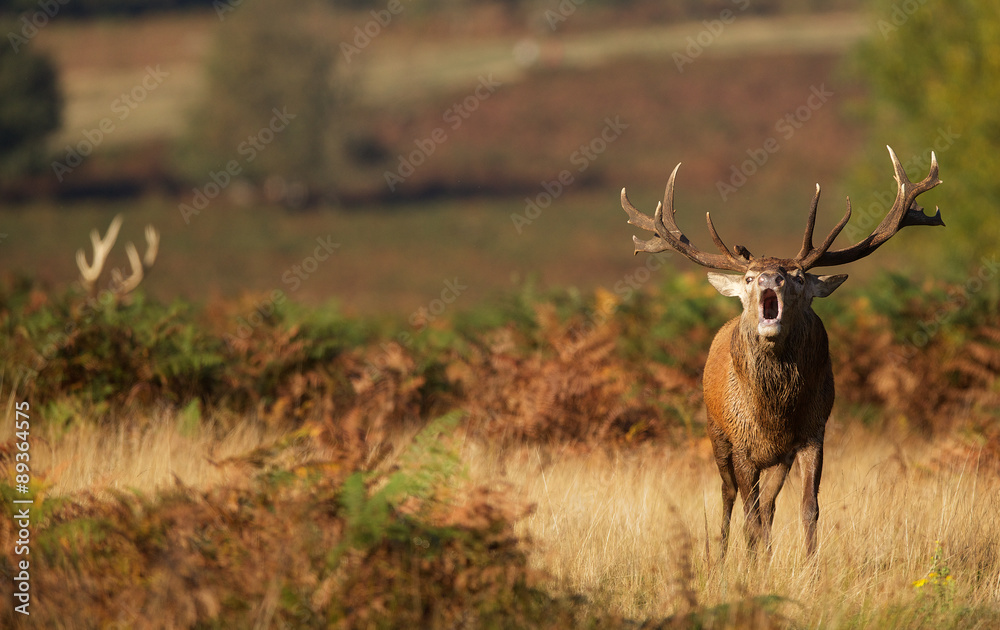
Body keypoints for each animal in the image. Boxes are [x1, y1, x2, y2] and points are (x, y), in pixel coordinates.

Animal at [620, 146, 943, 557]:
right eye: (747, 278)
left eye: (799, 277)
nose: (768, 277)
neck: (773, 415)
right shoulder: (741, 444)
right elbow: (749, 513)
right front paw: (751, 561)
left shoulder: (812, 433)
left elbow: (807, 507)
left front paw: (807, 562)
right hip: (716, 433)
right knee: (729, 495)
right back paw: (721, 555)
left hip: (776, 459)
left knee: (768, 506)